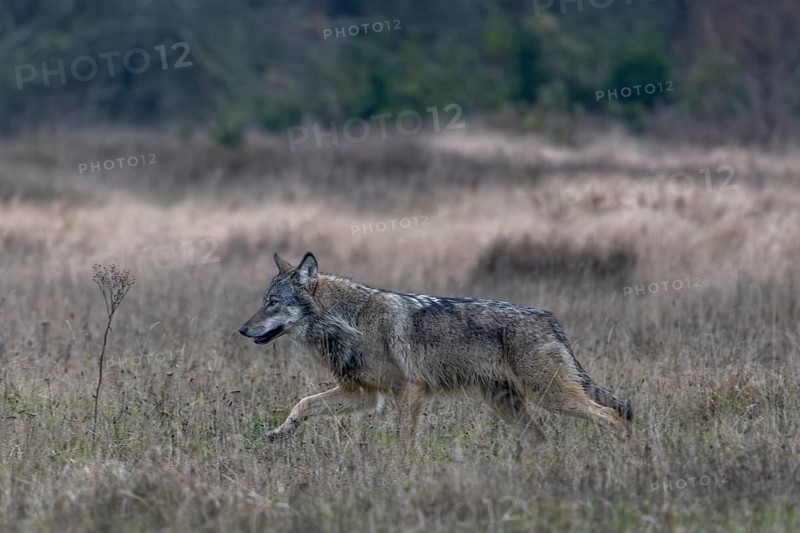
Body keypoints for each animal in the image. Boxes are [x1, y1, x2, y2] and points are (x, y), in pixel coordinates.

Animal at [239, 252, 633, 449]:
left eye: (272, 302)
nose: (242, 330)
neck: (349, 320)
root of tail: (550, 320)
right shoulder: (363, 395)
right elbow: (302, 404)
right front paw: (278, 434)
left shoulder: (406, 390)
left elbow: (404, 442)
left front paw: (400, 475)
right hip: (508, 403)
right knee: (542, 439)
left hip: (550, 396)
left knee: (613, 415)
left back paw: (630, 457)